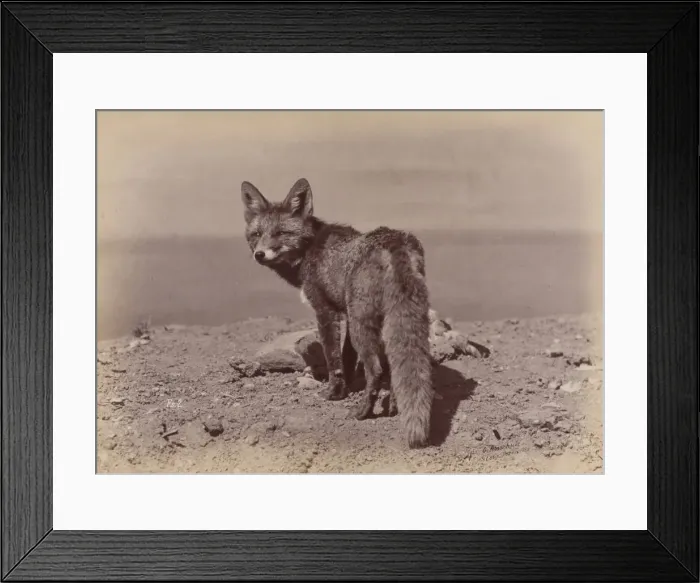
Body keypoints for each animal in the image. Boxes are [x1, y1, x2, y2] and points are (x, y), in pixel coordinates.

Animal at [240, 177, 434, 448]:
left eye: (281, 233)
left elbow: (334, 358)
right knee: (394, 368)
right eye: (256, 234)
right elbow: (348, 356)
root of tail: (395, 240)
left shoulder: (326, 311)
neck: (309, 250)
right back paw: (393, 407)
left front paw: (334, 393)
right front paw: (347, 388)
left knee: (376, 369)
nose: (260, 254)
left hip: (363, 323)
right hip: (381, 320)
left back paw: (363, 412)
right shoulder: (346, 314)